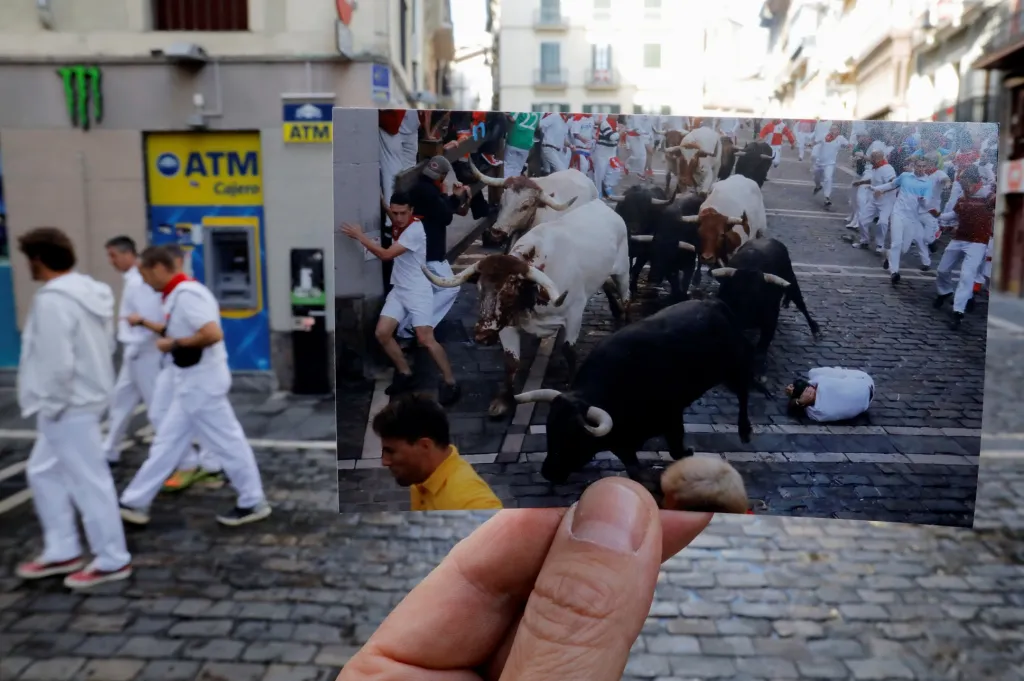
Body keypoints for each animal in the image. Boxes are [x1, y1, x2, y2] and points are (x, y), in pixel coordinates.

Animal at [417, 197, 626, 419]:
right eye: (480, 290)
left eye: (509, 293)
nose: (482, 334)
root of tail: (602, 204)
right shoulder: (506, 323)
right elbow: (511, 361)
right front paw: (503, 400)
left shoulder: (574, 314)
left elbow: (569, 351)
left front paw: (571, 387)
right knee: (608, 286)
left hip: (623, 271)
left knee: (626, 296)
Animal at [516, 296, 770, 483]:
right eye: (549, 429)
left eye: (572, 435)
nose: (548, 472)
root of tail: (716, 304)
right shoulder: (622, 442)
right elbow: (634, 469)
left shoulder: (672, 416)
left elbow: (676, 450)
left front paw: (686, 454)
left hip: (735, 368)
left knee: (744, 393)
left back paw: (745, 431)